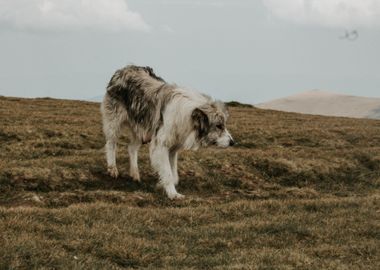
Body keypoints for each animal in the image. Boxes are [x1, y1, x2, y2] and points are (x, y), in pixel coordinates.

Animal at [100, 66, 235, 198]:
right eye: (218, 126)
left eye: (223, 125)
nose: (233, 142)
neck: (187, 115)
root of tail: (123, 69)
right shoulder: (161, 146)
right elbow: (169, 173)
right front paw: (173, 194)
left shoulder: (173, 148)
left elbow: (173, 174)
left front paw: (162, 185)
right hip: (114, 123)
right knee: (111, 144)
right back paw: (112, 169)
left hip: (141, 128)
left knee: (131, 148)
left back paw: (135, 174)